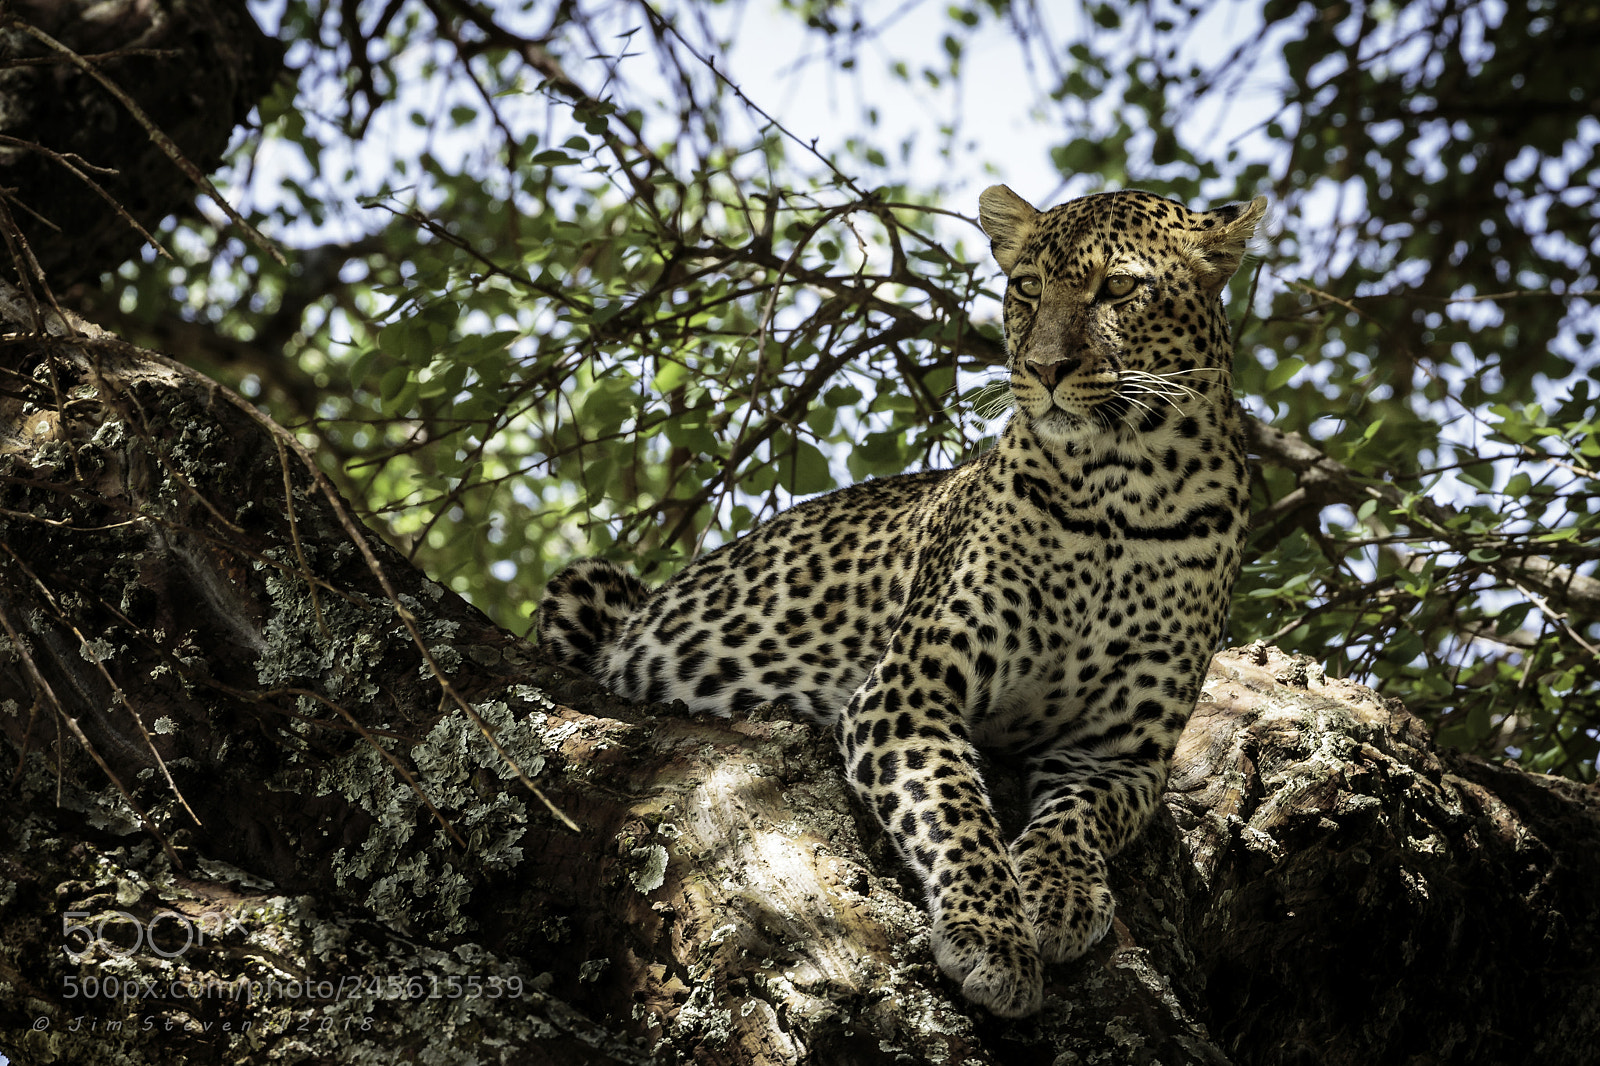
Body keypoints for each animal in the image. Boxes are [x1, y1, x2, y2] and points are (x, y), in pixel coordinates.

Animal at [538, 185, 1268, 1017]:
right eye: (1027, 288)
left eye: (1118, 288)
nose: (1044, 368)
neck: (1125, 486)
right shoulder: (906, 692)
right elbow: (957, 813)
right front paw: (993, 938)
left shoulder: (1123, 751)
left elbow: (1075, 821)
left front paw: (1058, 896)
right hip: (588, 589)